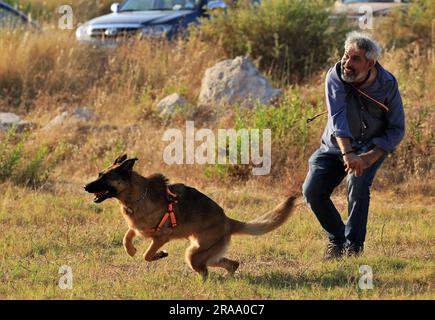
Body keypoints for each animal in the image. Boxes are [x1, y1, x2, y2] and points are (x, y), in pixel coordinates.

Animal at [85, 154, 296, 278]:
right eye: (99, 174)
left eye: (105, 177)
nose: (85, 186)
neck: (137, 195)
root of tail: (227, 221)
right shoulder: (139, 228)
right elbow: (127, 237)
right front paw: (131, 250)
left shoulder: (161, 236)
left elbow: (147, 254)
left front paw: (158, 255)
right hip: (204, 252)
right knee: (230, 264)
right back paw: (229, 276)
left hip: (193, 254)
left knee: (205, 271)